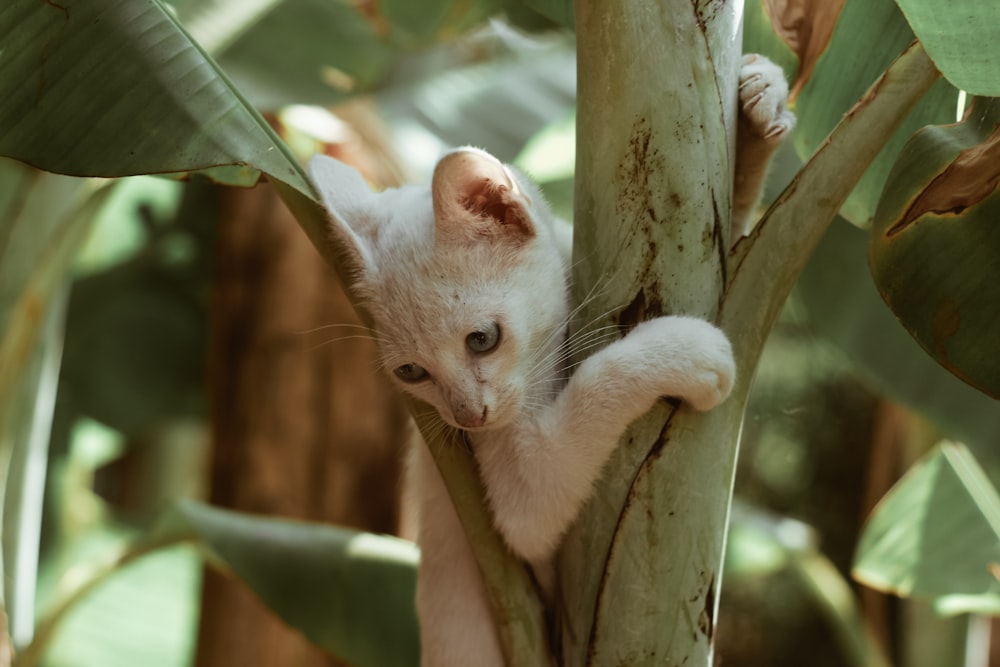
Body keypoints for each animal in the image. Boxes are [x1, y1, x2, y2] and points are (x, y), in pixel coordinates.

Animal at [308, 54, 792, 667]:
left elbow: (735, 230)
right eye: (411, 373)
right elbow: (577, 420)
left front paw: (758, 101)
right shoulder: (511, 500)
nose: (468, 417)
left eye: (482, 339)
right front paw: (681, 350)